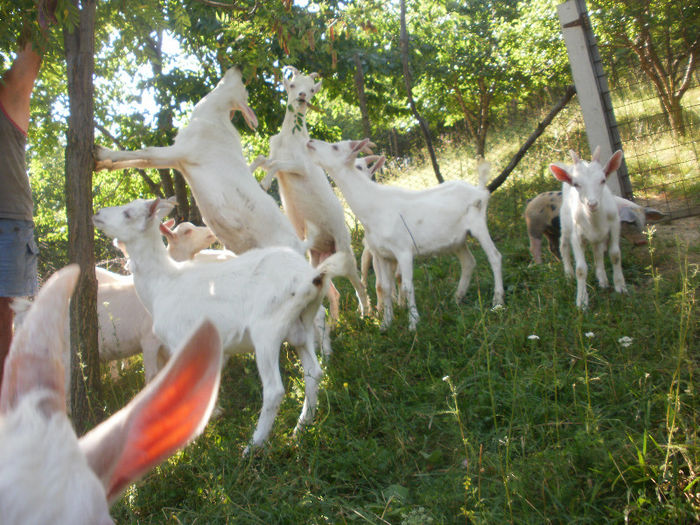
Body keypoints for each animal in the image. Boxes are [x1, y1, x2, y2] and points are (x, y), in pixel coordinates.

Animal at [92, 198, 344, 450]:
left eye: (127, 213)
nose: (97, 214)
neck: (161, 284)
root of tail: (311, 278)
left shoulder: (178, 341)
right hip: (301, 326)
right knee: (313, 373)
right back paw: (301, 428)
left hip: (267, 330)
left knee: (274, 389)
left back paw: (254, 446)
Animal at [306, 137, 504, 330]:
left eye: (335, 147)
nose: (310, 142)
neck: (373, 205)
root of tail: (479, 191)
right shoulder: (381, 254)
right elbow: (385, 287)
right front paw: (386, 324)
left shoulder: (403, 250)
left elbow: (408, 286)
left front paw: (413, 323)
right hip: (457, 240)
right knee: (468, 262)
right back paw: (457, 297)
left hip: (478, 225)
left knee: (494, 256)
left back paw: (498, 301)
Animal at [548, 147, 628, 308]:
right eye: (576, 184)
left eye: (603, 180)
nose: (592, 204)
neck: (595, 219)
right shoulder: (576, 236)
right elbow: (580, 269)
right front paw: (582, 300)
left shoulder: (615, 225)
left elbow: (615, 255)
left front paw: (620, 286)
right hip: (565, 225)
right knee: (563, 246)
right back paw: (568, 275)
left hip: (597, 238)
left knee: (597, 252)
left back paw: (603, 280)